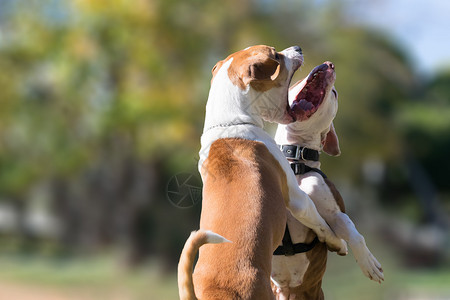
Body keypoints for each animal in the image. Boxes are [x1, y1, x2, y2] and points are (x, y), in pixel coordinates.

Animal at [176, 46, 344, 300]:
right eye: (275, 55)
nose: (297, 48)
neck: (229, 124)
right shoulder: (297, 199)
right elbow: (321, 223)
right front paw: (338, 242)